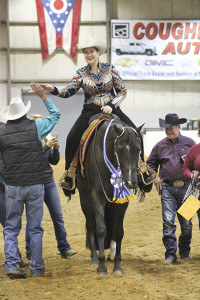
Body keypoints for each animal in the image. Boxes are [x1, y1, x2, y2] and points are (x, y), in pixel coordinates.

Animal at [76, 116, 142, 276]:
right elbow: (100, 229)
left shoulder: (122, 200)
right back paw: (94, 258)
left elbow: (118, 232)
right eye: (119, 149)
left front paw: (117, 266)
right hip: (84, 198)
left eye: (138, 149)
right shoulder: (97, 196)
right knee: (91, 225)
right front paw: (101, 267)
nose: (131, 181)